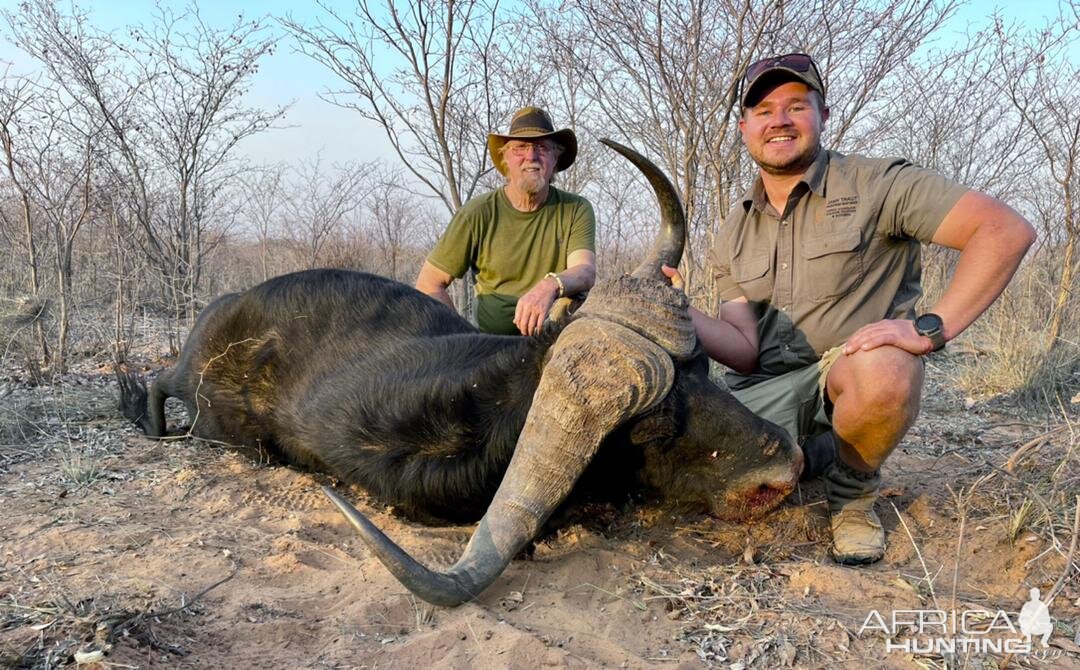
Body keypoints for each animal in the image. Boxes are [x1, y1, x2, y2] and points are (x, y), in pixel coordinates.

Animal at [118, 140, 803, 605]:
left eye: (701, 367)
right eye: (657, 426)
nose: (788, 463)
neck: (497, 403)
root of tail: (223, 313)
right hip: (211, 412)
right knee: (163, 391)